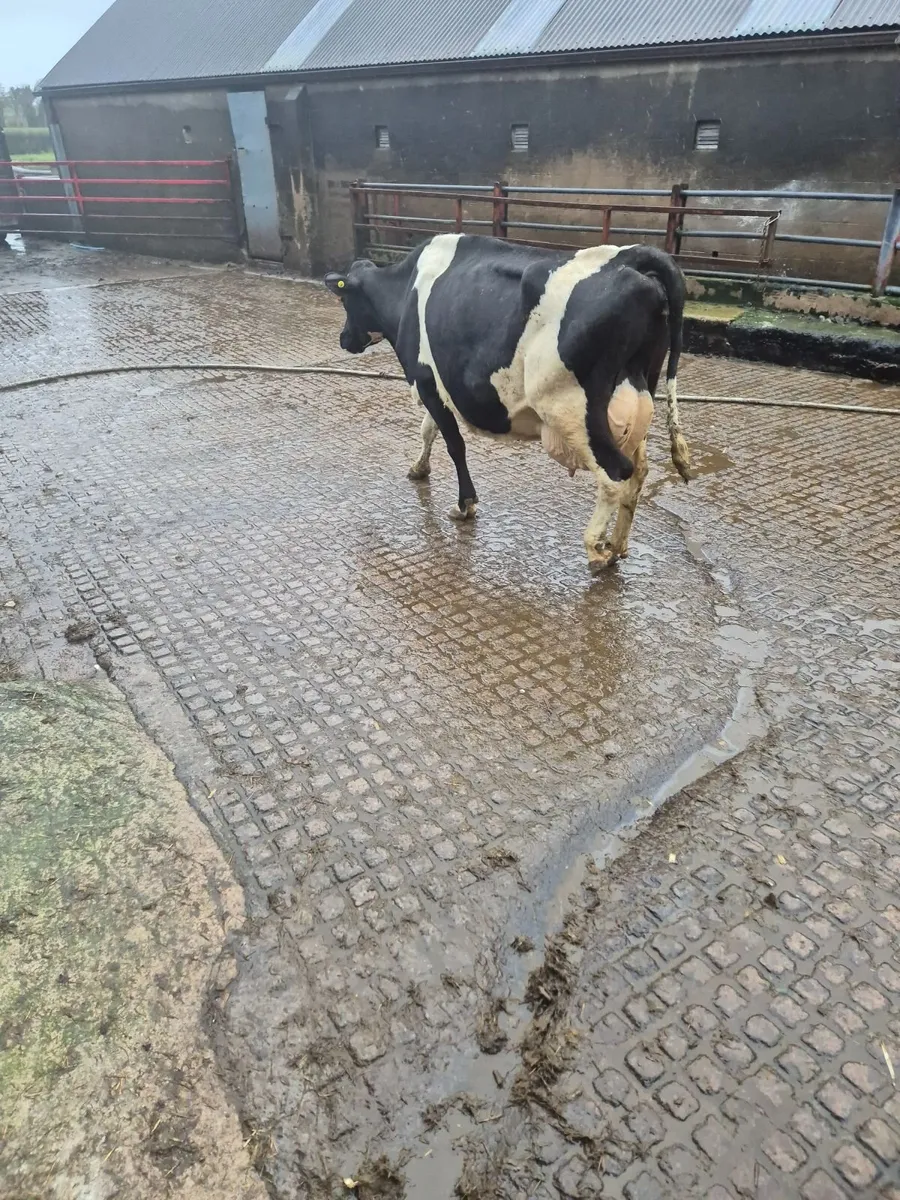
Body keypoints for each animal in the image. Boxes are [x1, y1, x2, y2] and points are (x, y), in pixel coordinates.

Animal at [324, 234, 691, 574]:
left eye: (345, 302)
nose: (344, 339)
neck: (405, 292)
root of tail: (630, 257)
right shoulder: (435, 385)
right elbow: (428, 430)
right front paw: (419, 468)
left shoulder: (426, 380)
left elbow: (453, 444)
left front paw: (465, 505)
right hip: (639, 397)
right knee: (638, 473)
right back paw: (617, 545)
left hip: (574, 411)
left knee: (615, 475)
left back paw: (596, 550)